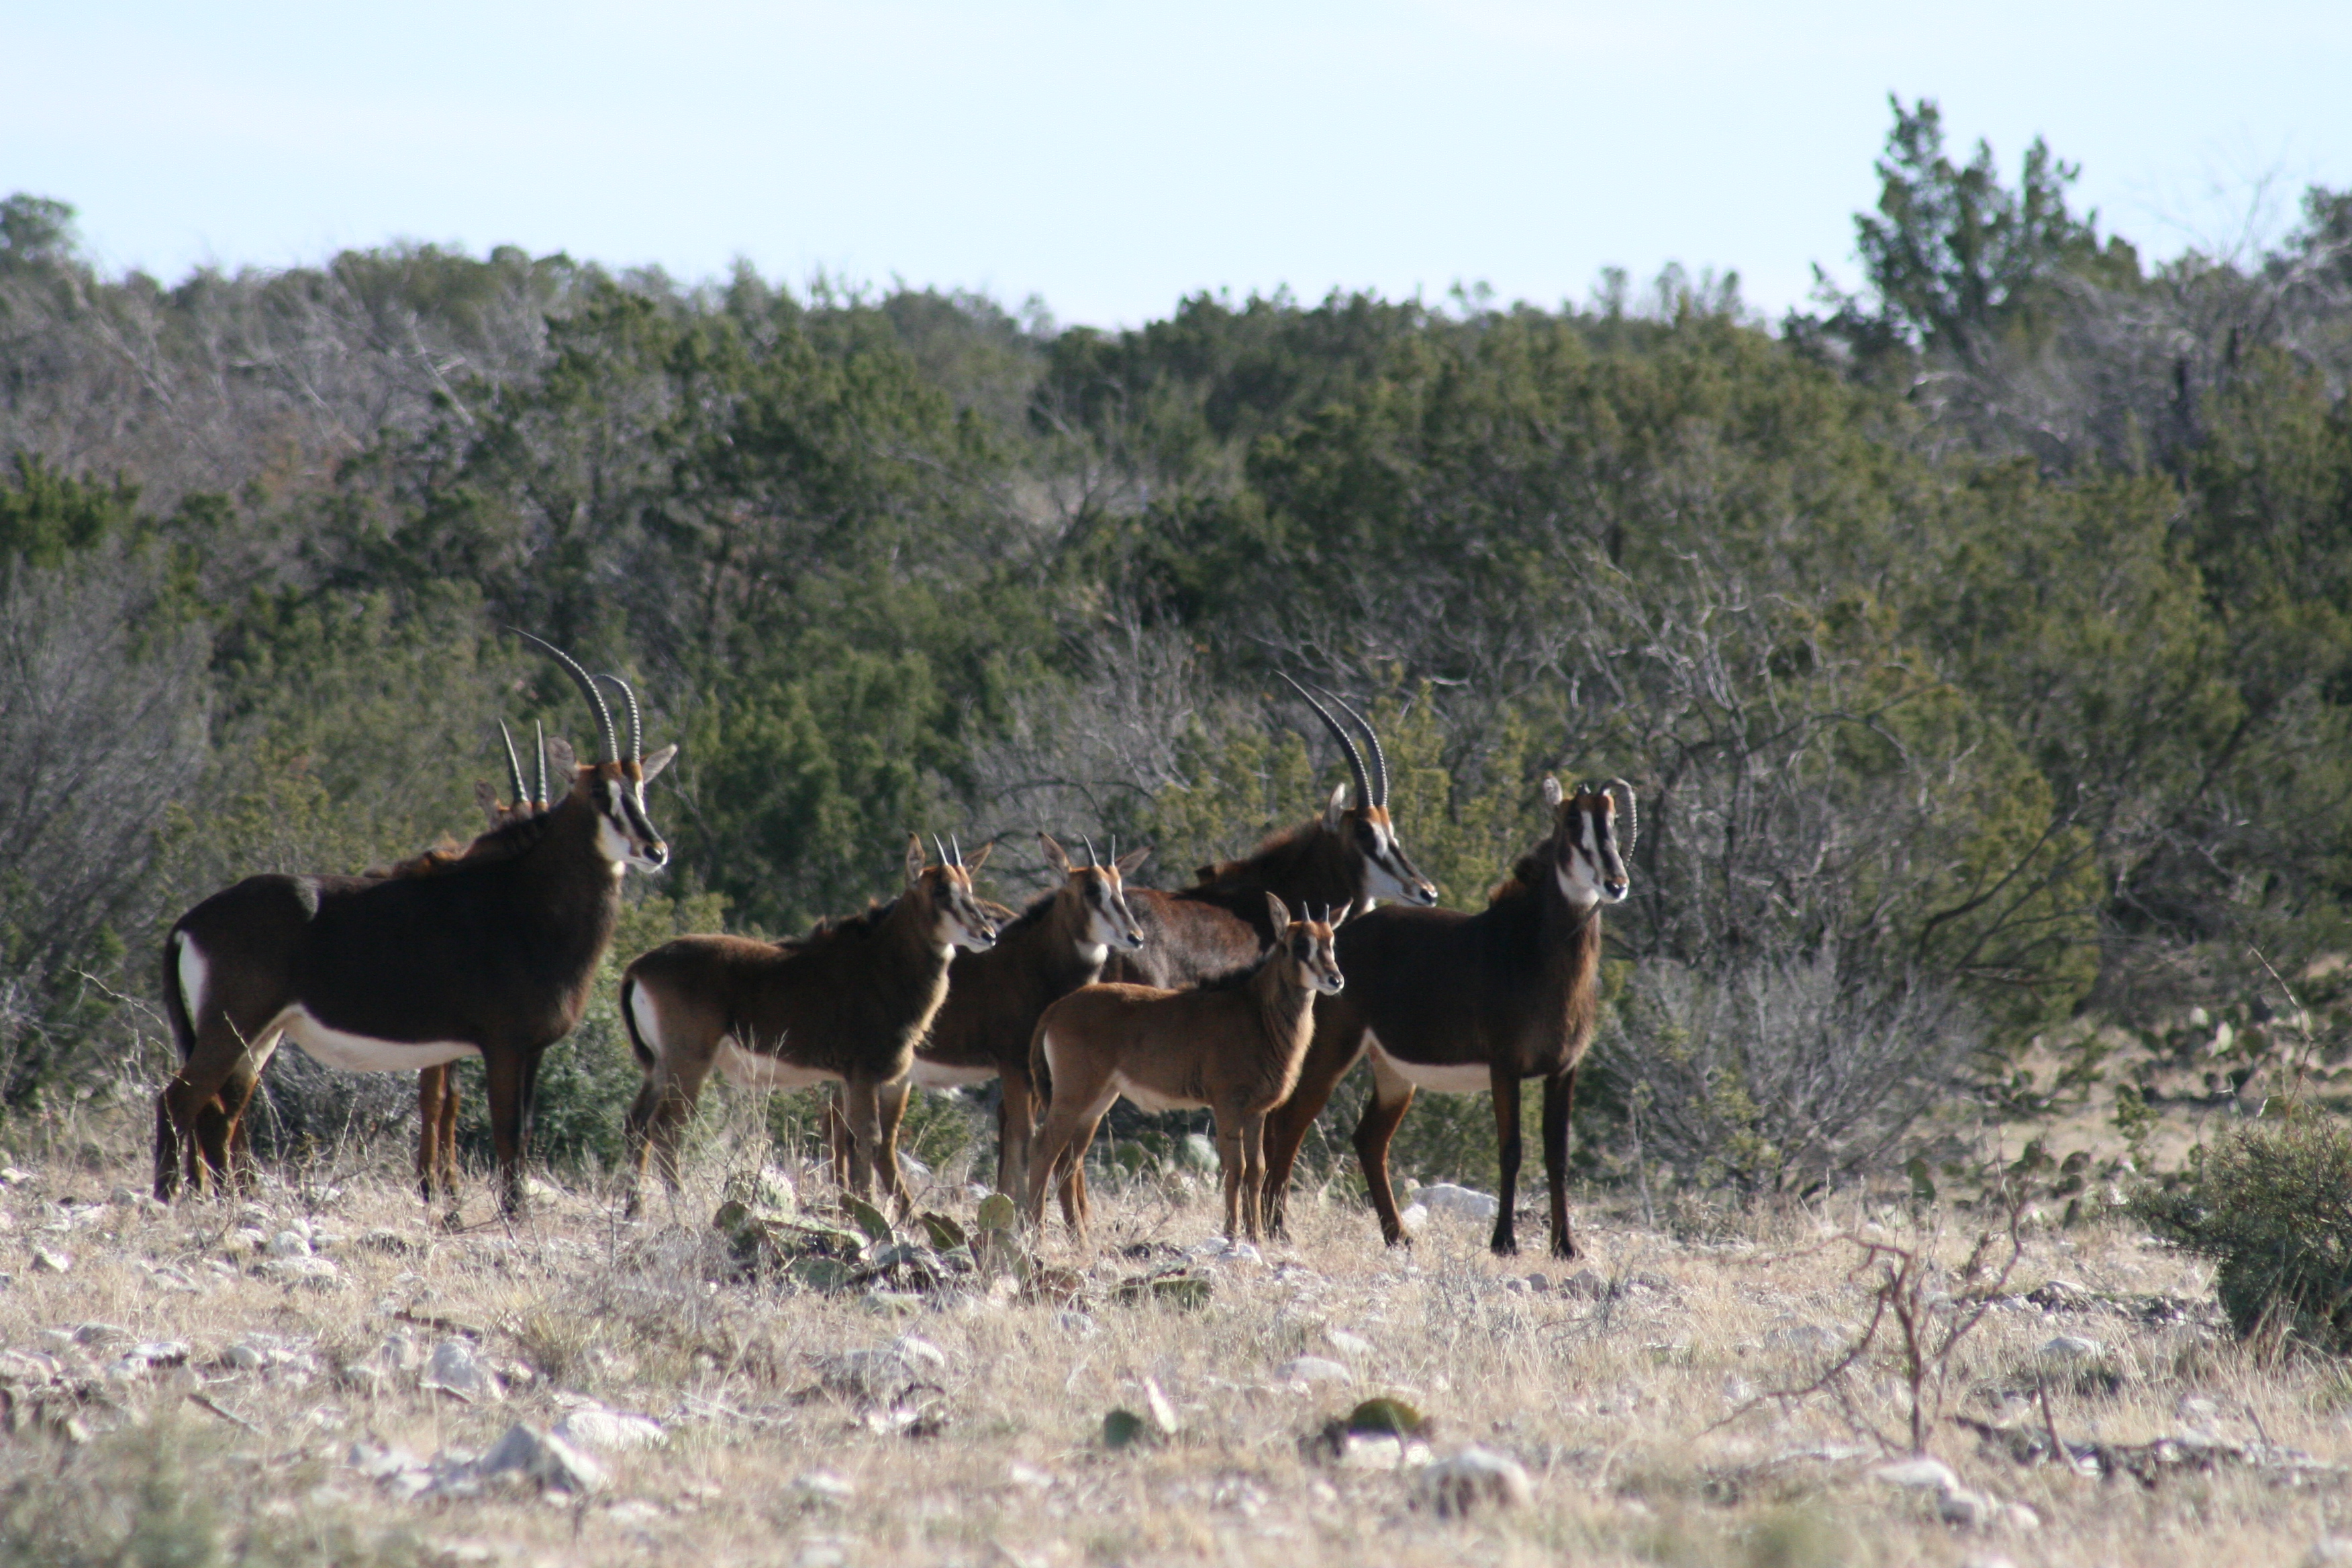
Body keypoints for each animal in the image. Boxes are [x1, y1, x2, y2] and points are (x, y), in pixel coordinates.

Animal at [155, 634, 675, 1218]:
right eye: (600, 793)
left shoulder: (532, 1050)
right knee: (179, 1100)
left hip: (259, 1036)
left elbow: (517, 1130)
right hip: (232, 1027)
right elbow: (505, 1132)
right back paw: (168, 1200)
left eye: (641, 790)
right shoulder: (503, 1046)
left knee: (217, 1112)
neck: (527, 900)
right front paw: (509, 1217)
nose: (655, 851)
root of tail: (190, 922)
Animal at [618, 836, 1000, 1215]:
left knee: (637, 1125)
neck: (883, 963)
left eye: (969, 887)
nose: (988, 935)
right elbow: (868, 1138)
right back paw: (679, 1208)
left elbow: (847, 1140)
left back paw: (634, 1210)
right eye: (940, 890)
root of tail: (639, 966)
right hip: (689, 1063)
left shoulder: (848, 1080)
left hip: (660, 1066)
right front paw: (869, 1212)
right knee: (666, 1128)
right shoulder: (865, 1075)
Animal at [1025, 893, 1345, 1245]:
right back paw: (1036, 1235)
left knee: (1070, 1159)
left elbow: (1257, 1169)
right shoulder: (1227, 1104)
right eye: (1299, 945)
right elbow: (1235, 1167)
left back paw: (1080, 1239)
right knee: (1043, 1149)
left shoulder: (1256, 1112)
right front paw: (1231, 1233)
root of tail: (1056, 1009)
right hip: (1075, 1095)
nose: (1335, 979)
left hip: (1097, 1102)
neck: (1258, 1012)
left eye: (1331, 941)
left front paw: (1257, 1236)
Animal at [1256, 778, 1634, 1259]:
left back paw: (1398, 1236)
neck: (1537, 949)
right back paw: (1277, 1229)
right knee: (1289, 1122)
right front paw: (1504, 1242)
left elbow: (1557, 1156)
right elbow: (1511, 1149)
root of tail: (1331, 943)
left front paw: (1566, 1247)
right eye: (1572, 820)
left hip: (1394, 1073)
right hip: (1329, 1052)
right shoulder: (1505, 1067)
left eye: (1612, 820)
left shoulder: (1564, 1070)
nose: (1615, 882)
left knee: (1369, 1139)